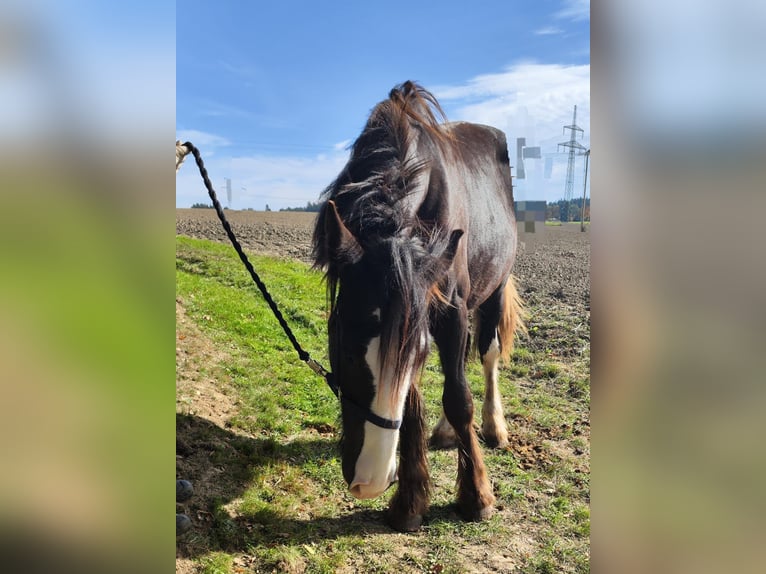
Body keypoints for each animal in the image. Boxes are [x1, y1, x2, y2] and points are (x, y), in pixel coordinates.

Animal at [312, 81, 524, 532]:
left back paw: (493, 425)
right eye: (344, 348)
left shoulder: (451, 309)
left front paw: (477, 496)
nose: (372, 480)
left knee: (486, 355)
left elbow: (459, 396)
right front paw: (409, 502)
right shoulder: (414, 317)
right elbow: (413, 402)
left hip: (494, 287)